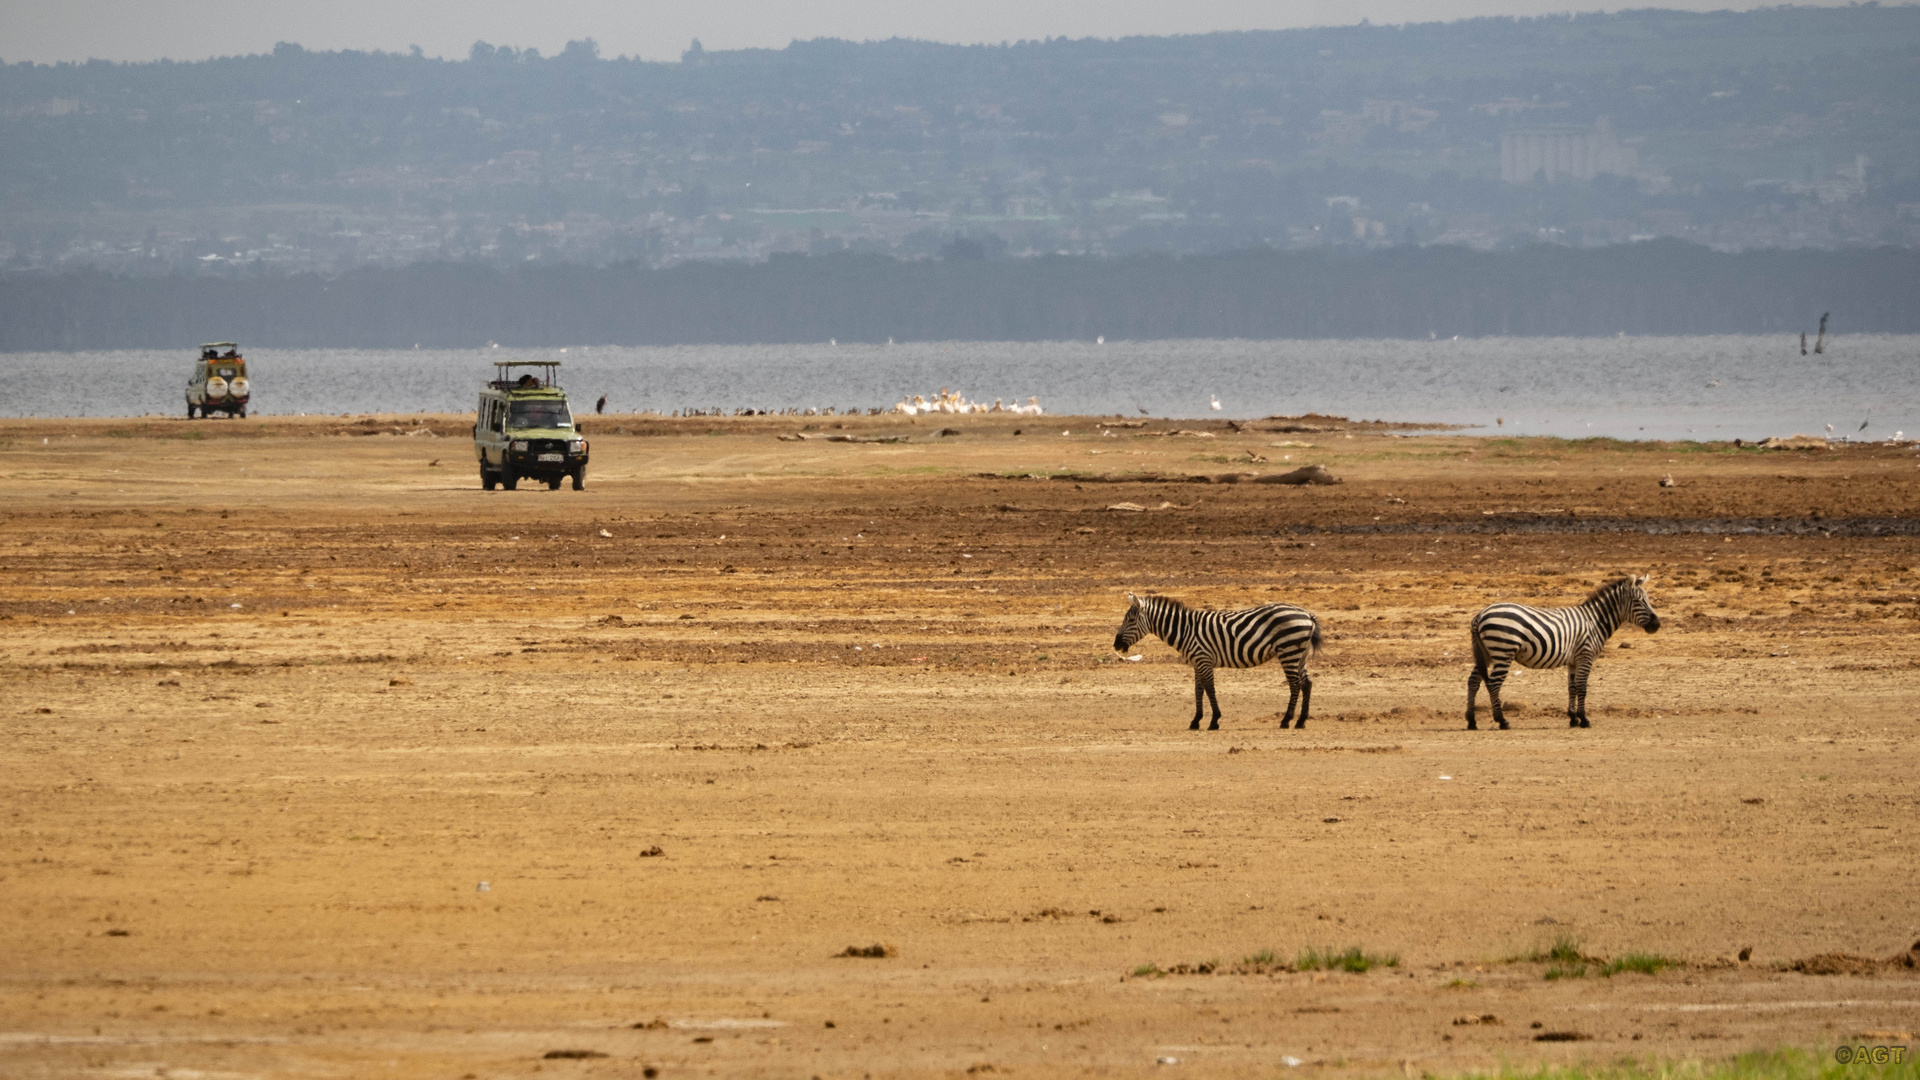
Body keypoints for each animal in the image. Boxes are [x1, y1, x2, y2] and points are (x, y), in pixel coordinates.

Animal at [1113, 588, 1320, 730]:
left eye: (1130, 620)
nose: (1115, 645)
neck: (1185, 630)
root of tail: (1307, 614)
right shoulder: (1197, 662)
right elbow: (1198, 690)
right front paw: (1196, 720)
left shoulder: (1203, 659)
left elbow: (1210, 689)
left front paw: (1214, 720)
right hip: (1299, 654)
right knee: (1307, 683)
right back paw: (1301, 720)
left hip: (1288, 650)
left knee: (1295, 684)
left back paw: (1286, 720)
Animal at [1459, 572, 1658, 730]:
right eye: (1638, 601)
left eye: (1648, 600)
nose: (1657, 625)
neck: (1595, 621)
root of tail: (1479, 615)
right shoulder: (1586, 656)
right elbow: (1582, 687)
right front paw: (1584, 719)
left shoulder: (1573, 661)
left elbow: (1572, 688)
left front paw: (1573, 719)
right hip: (1503, 652)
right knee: (1493, 684)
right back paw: (1502, 721)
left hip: (1486, 653)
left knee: (1473, 681)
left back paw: (1471, 721)